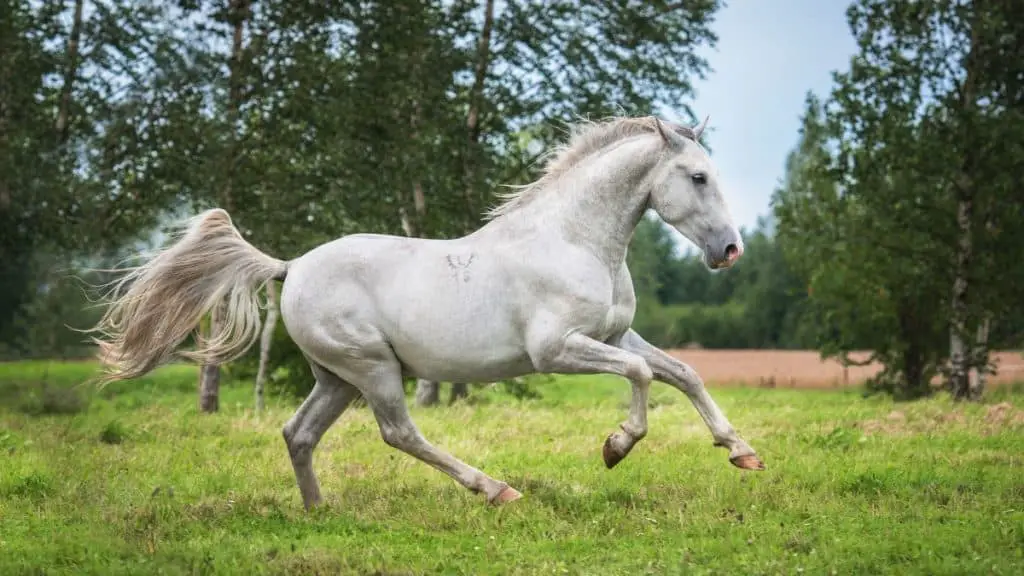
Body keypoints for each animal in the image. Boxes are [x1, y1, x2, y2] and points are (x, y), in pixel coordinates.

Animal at [88, 114, 761, 508]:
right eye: (698, 177)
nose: (730, 251)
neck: (575, 240)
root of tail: (291, 267)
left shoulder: (617, 335)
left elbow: (682, 372)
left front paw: (741, 451)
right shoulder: (557, 349)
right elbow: (645, 377)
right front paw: (616, 447)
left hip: (336, 377)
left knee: (298, 433)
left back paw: (318, 511)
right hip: (373, 369)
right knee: (399, 432)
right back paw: (496, 489)